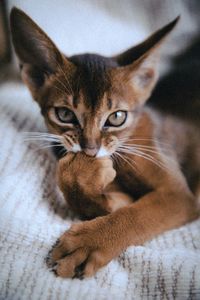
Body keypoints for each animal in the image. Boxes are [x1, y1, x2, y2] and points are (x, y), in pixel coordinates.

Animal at [10, 7, 200, 278]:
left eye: (117, 117)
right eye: (65, 114)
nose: (90, 150)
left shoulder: (179, 195)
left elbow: (136, 215)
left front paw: (87, 243)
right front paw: (83, 174)